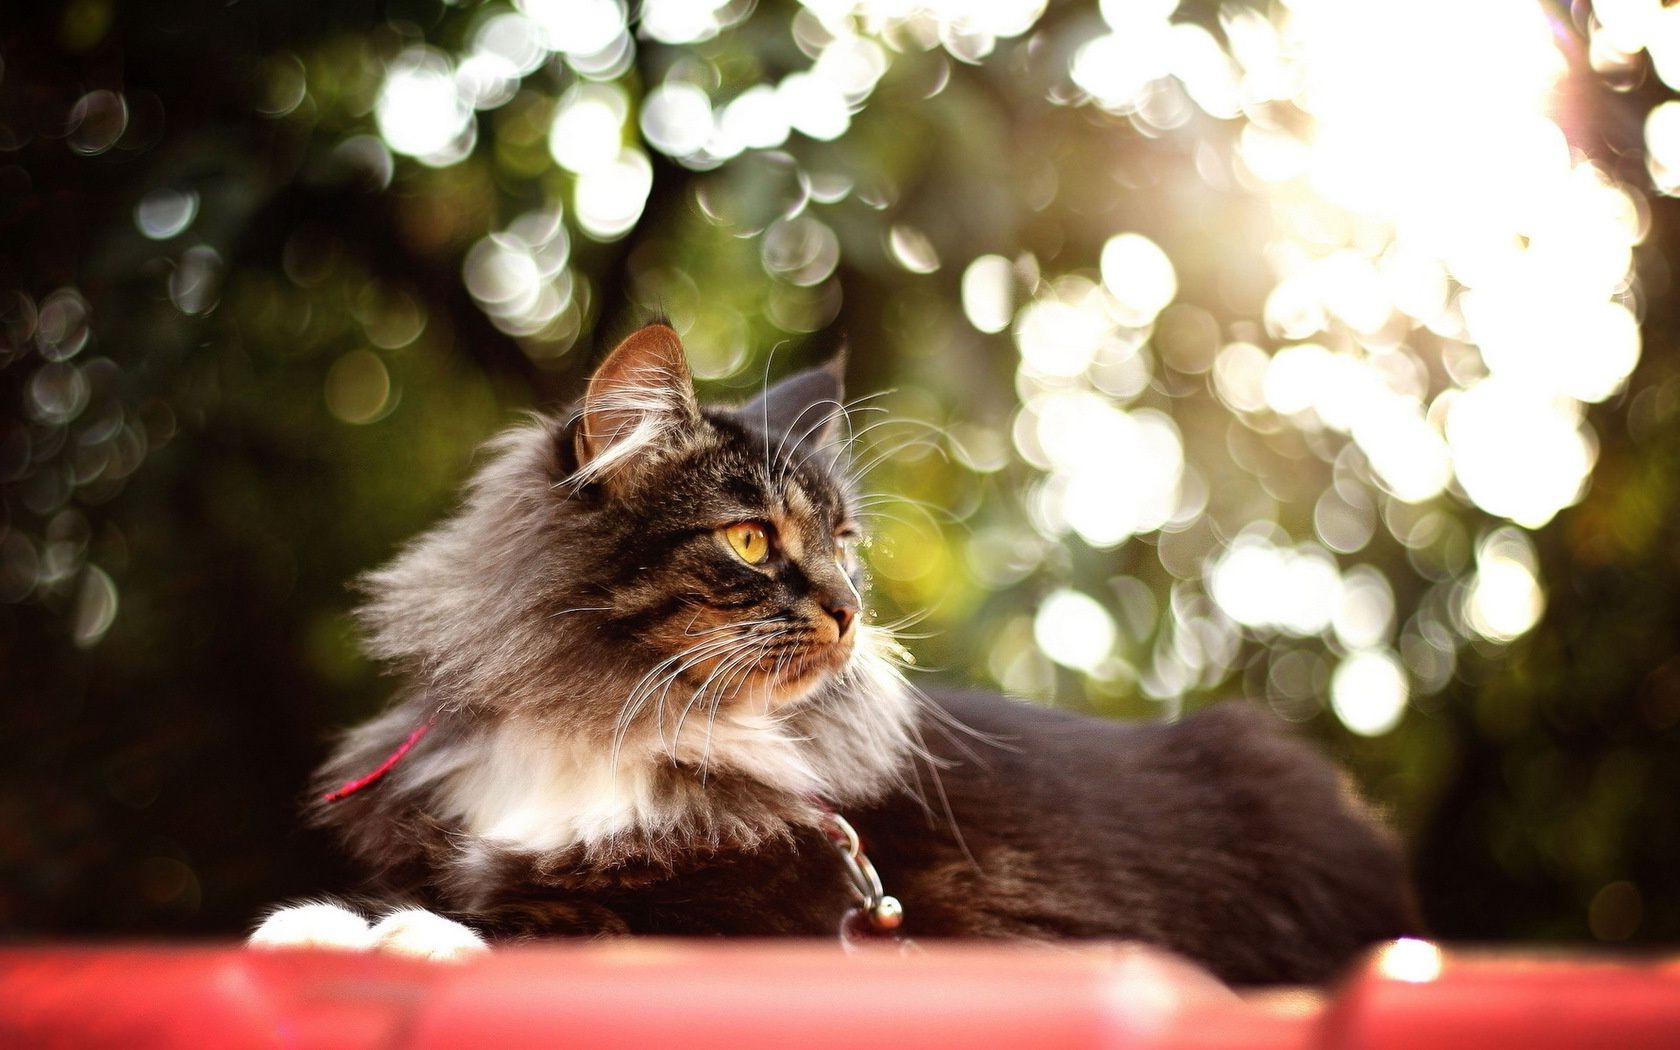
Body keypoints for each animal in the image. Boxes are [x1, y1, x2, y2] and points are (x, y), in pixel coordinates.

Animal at [251, 320, 1417, 981]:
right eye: (751, 539)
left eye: (845, 542)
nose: (852, 608)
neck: (607, 720)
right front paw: (322, 923)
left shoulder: (762, 922)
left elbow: (559, 922)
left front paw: (414, 935)